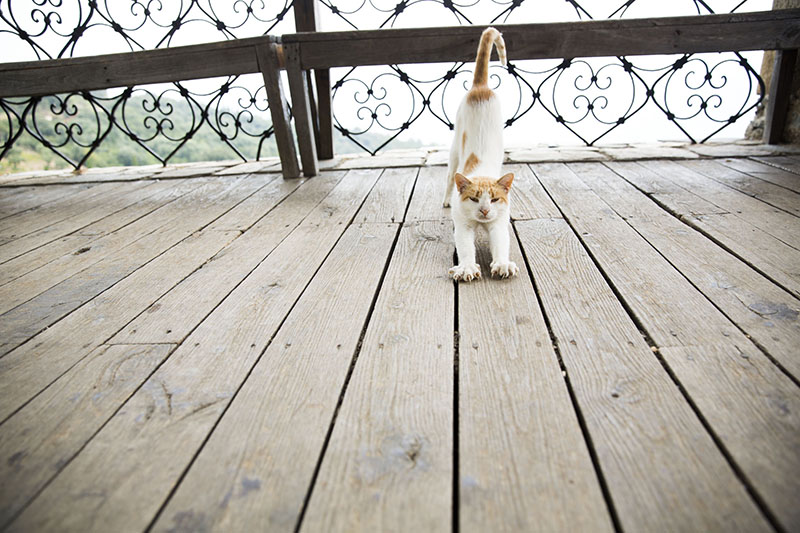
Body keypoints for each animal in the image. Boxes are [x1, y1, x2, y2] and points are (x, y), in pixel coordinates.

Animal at [444, 26, 520, 280]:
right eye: (475, 199)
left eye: (495, 199)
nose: (485, 210)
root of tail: (481, 87)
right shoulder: (463, 225)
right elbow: (466, 247)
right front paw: (467, 267)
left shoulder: (498, 223)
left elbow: (501, 243)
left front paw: (503, 264)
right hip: (454, 150)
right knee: (449, 178)